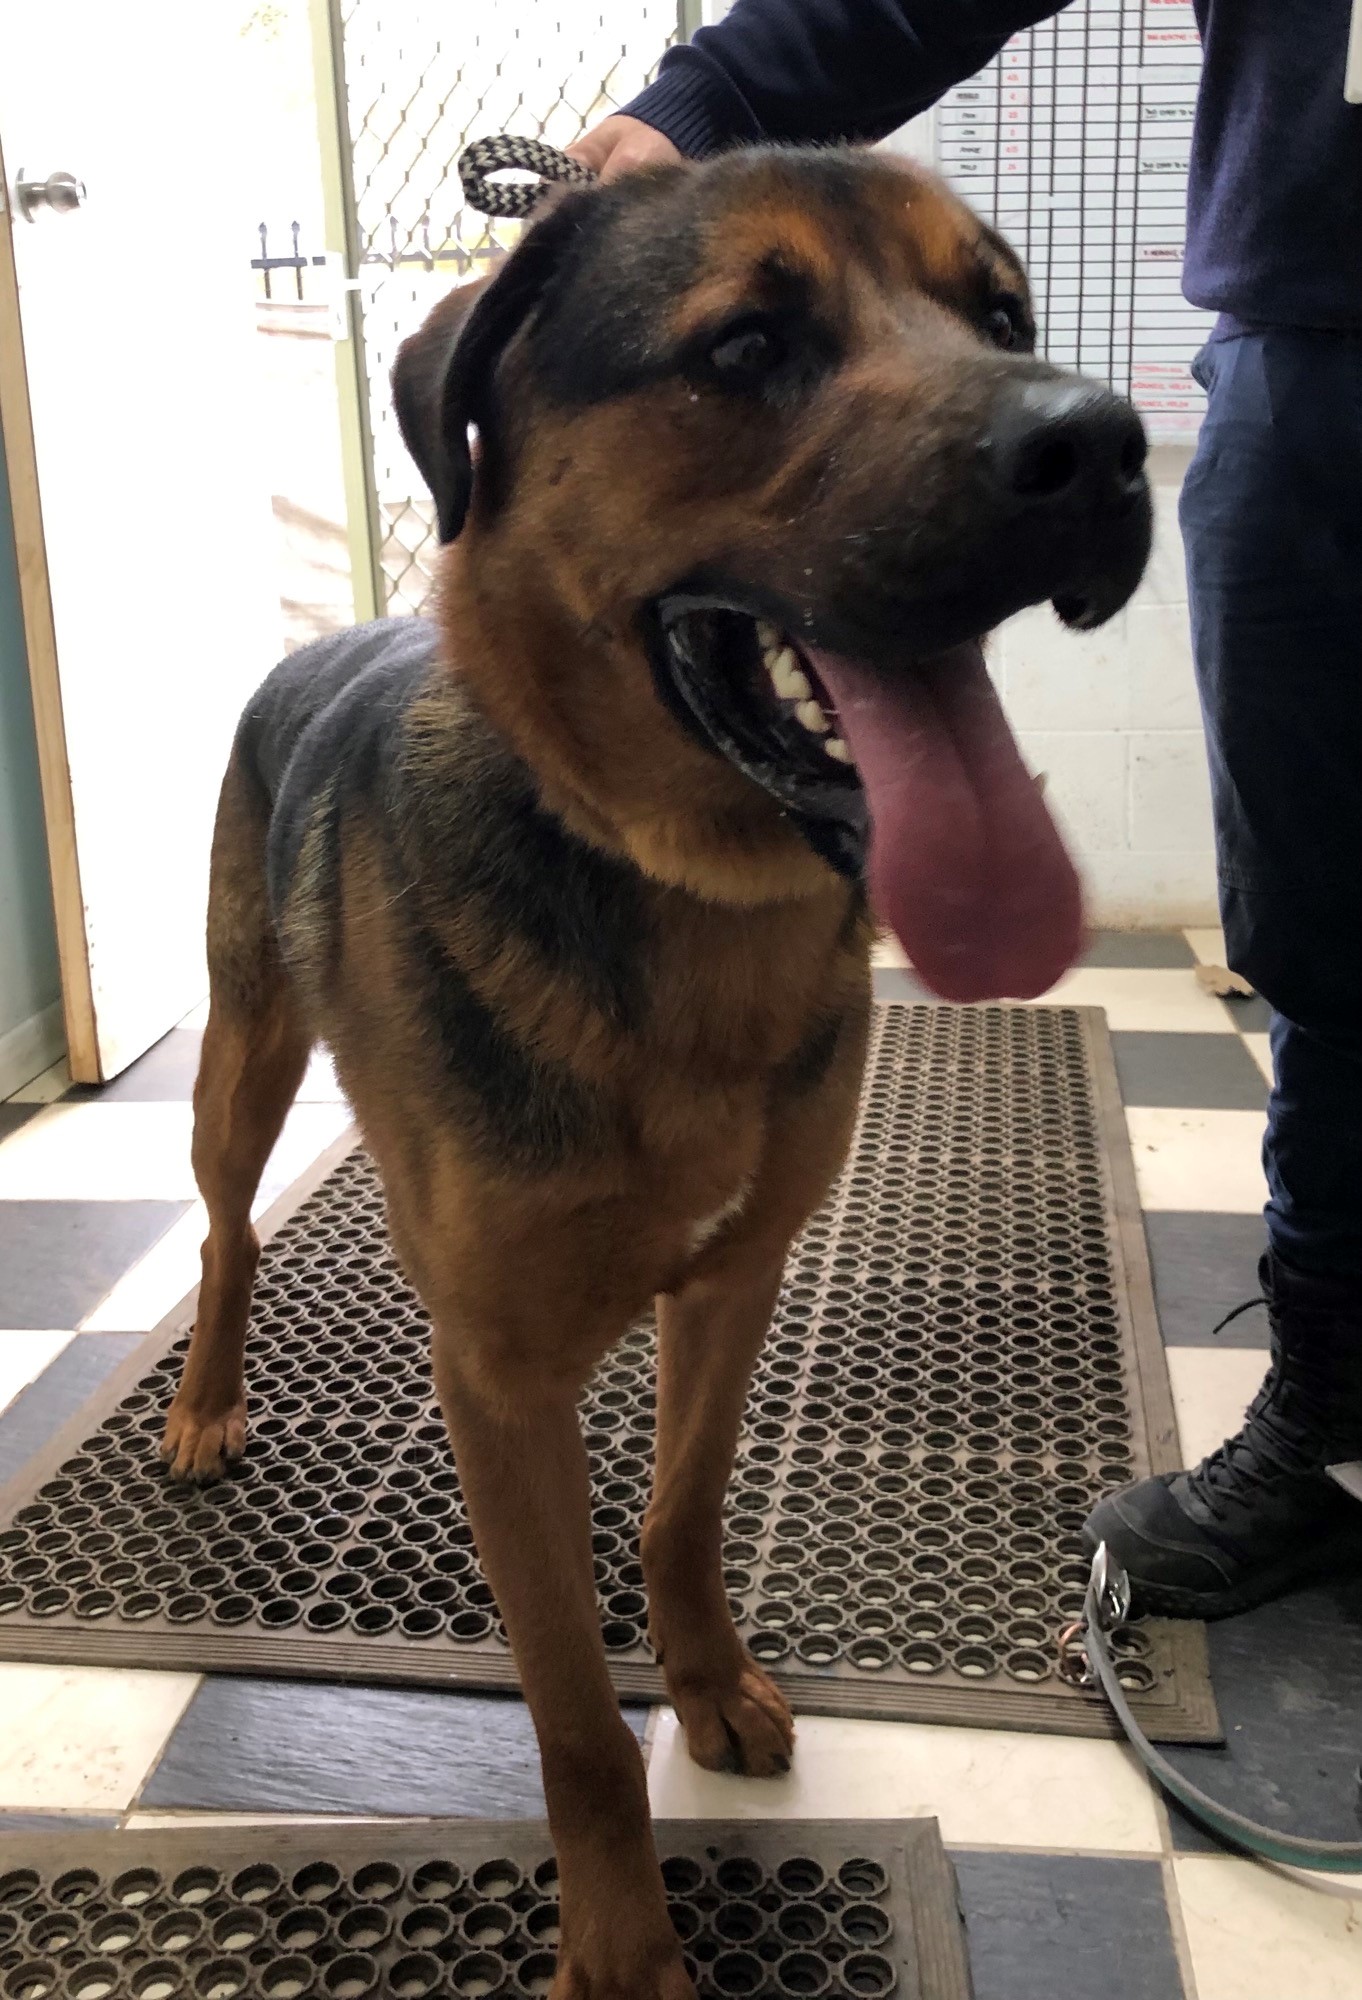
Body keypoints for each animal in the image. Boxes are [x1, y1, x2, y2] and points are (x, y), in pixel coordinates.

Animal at [165, 148, 1150, 1997]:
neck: (684, 904)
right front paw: (622, 1945)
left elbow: (683, 1516)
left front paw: (706, 1687)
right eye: (747, 346)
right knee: (228, 1231)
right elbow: (569, 1723)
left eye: (1001, 317)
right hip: (241, 1067)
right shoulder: (497, 1383)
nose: (1107, 442)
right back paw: (200, 1399)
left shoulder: (736, 1278)